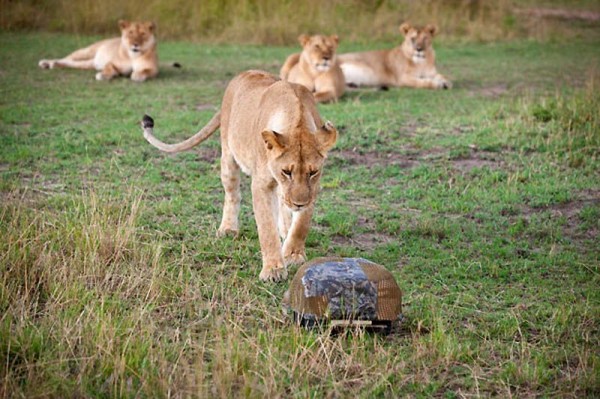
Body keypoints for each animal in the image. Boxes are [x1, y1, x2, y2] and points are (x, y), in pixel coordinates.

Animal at [141, 70, 338, 282]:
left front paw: (293, 254)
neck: (297, 118)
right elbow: (266, 227)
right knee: (232, 195)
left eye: (313, 172)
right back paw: (228, 229)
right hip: (228, 157)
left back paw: (285, 230)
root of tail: (242, 74)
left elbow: (302, 223)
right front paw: (273, 270)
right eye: (286, 171)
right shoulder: (261, 184)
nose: (299, 204)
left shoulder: (312, 188)